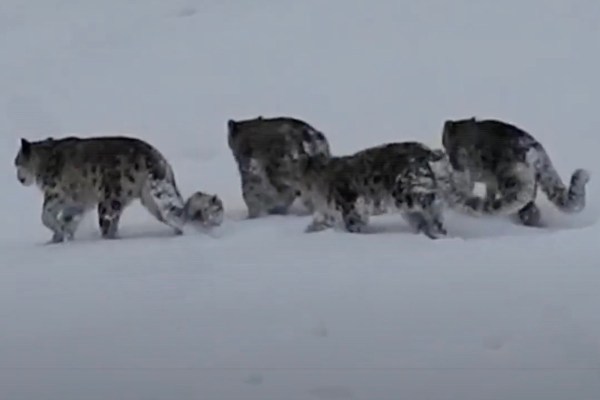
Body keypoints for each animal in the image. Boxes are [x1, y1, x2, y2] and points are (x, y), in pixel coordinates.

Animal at [14, 136, 225, 244]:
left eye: (17, 162)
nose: (19, 178)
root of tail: (152, 155)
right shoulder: (77, 203)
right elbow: (69, 220)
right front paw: (60, 238)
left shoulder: (54, 194)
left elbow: (45, 216)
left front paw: (58, 234)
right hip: (150, 199)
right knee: (175, 217)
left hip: (109, 199)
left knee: (108, 226)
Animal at [296, 142, 450, 239]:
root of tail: (424, 150)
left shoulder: (349, 207)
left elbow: (353, 224)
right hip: (409, 207)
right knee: (429, 218)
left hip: (403, 194)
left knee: (430, 201)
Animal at [440, 117, 592, 227]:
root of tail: (533, 146)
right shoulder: (488, 182)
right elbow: (488, 193)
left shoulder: (465, 174)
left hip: (512, 180)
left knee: (525, 204)